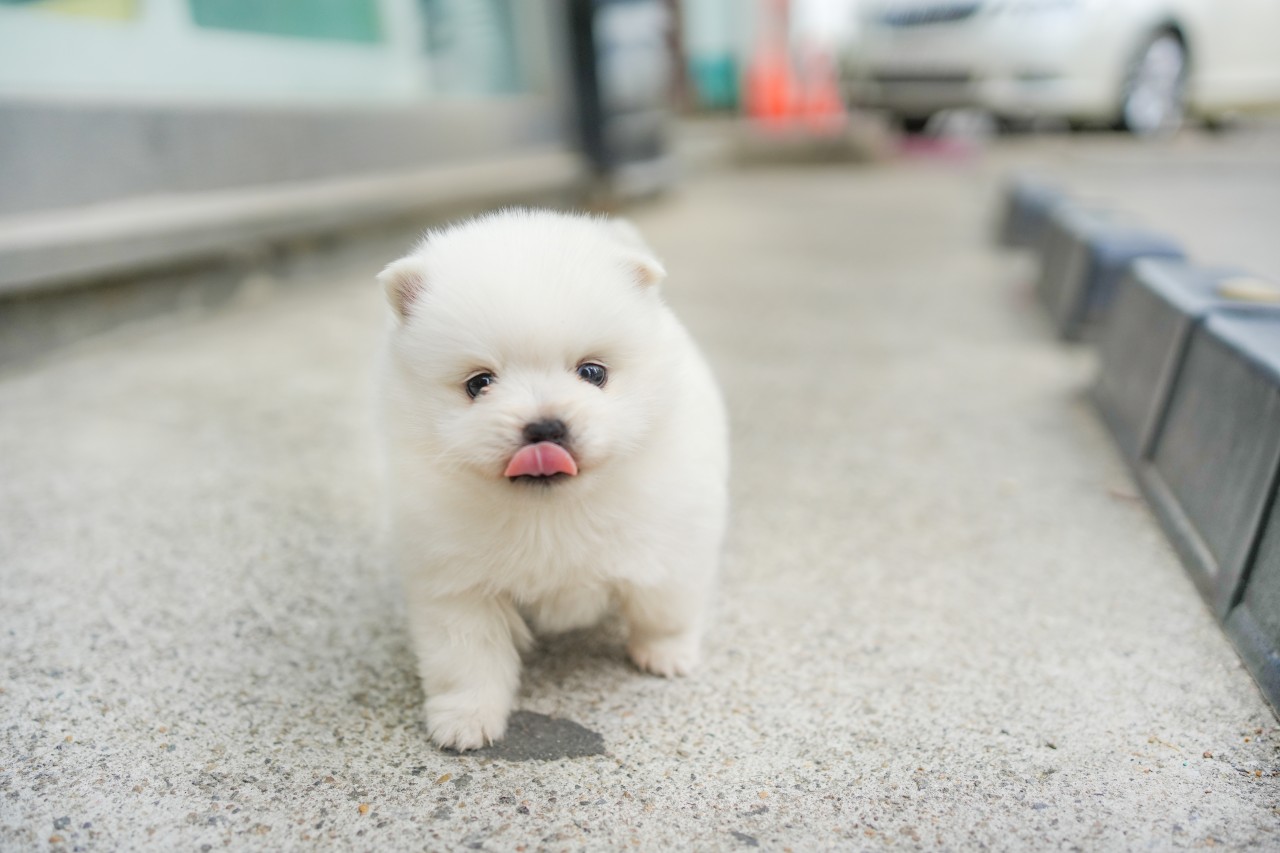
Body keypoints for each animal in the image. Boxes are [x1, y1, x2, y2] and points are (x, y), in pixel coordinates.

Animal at [377, 209, 729, 751]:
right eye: (479, 383)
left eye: (593, 372)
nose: (544, 428)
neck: (550, 511)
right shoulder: (456, 583)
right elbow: (466, 658)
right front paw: (465, 718)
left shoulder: (671, 543)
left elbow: (664, 609)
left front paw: (667, 654)